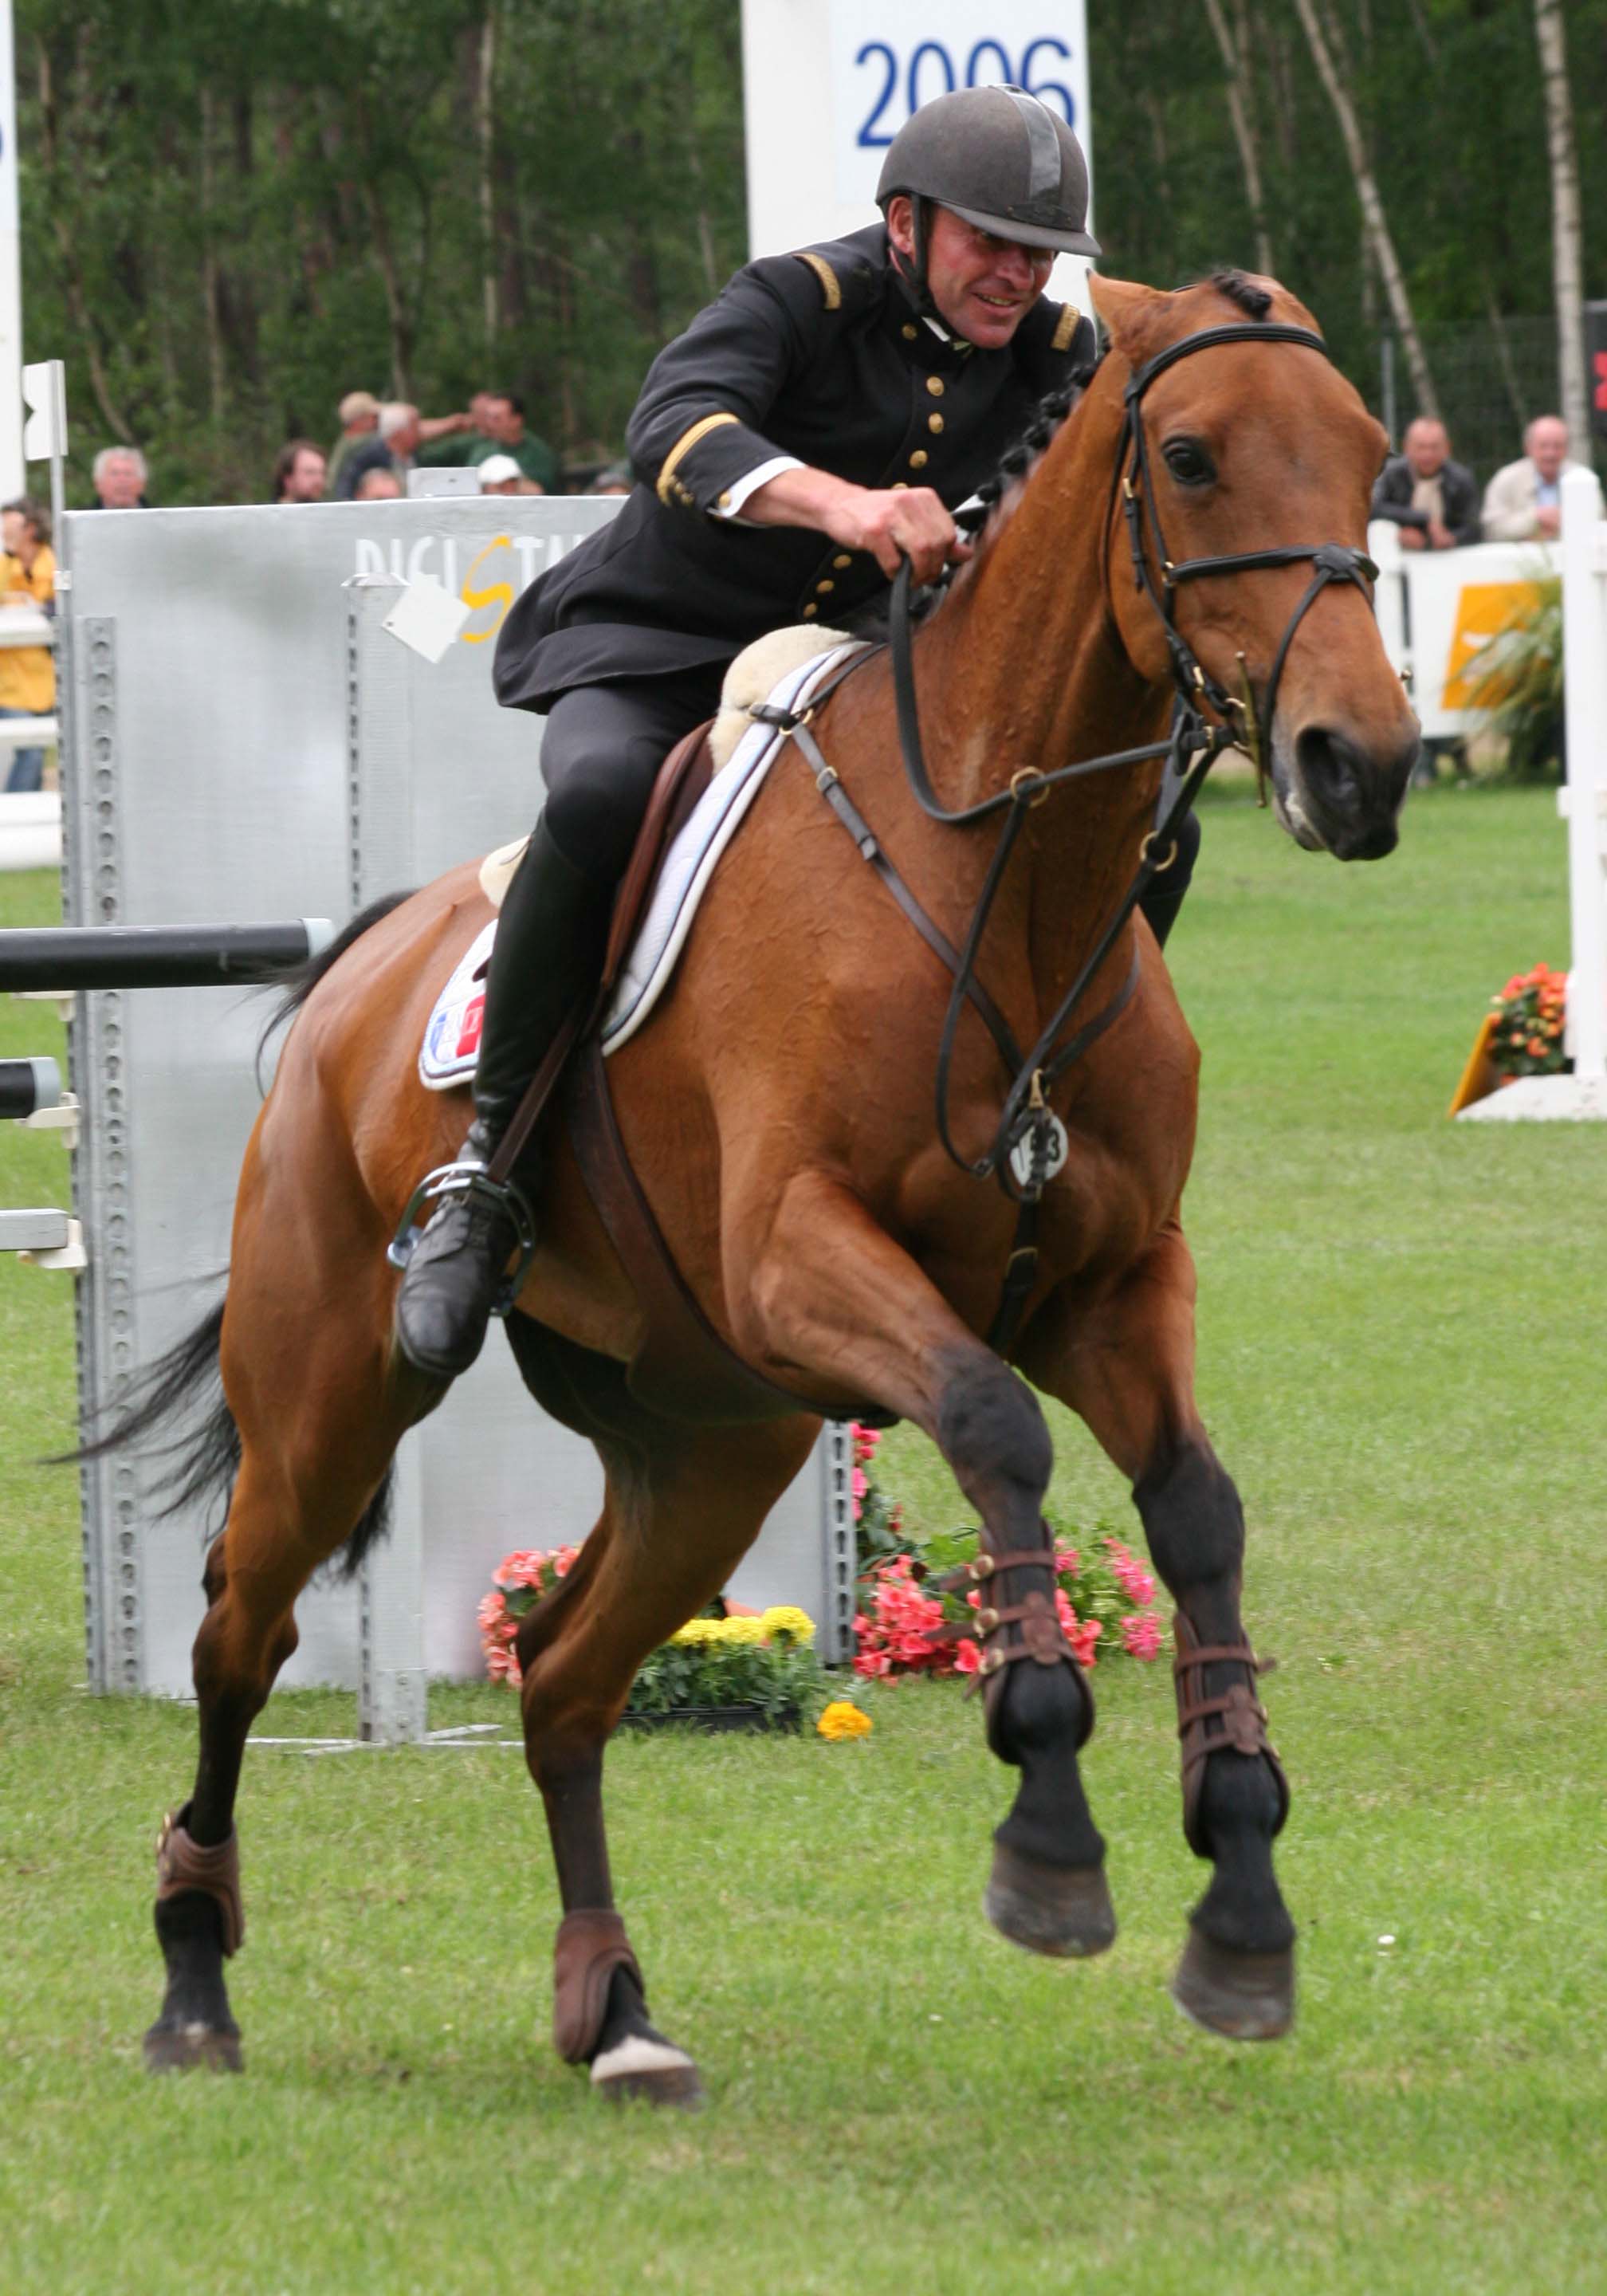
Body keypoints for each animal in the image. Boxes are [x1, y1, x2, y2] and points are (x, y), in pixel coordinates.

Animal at [125, 268, 1414, 2103]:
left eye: (1373, 455)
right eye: (1190, 456)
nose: (1360, 765)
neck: (996, 881)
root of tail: (356, 976)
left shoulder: (1108, 1287)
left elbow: (1195, 1509)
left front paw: (1238, 1889)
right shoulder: (808, 1260)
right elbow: (997, 1432)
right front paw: (1049, 1826)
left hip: (710, 1435)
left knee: (566, 1679)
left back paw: (615, 2009)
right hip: (331, 1395)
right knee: (241, 1638)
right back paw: (192, 1974)